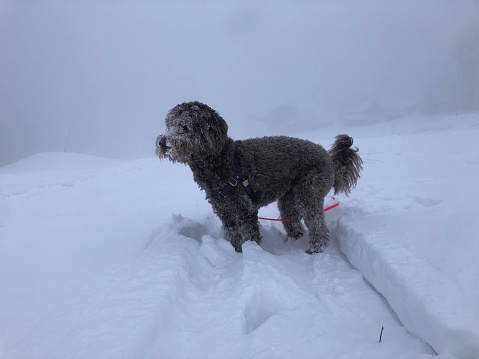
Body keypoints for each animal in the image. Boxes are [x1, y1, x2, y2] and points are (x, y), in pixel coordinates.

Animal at [156, 100, 362, 253]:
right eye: (169, 124)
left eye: (184, 126)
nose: (162, 142)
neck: (218, 158)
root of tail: (328, 158)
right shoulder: (224, 211)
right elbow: (232, 235)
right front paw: (235, 252)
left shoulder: (244, 209)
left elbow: (249, 236)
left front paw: (249, 255)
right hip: (288, 198)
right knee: (292, 220)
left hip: (309, 191)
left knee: (317, 223)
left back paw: (316, 248)